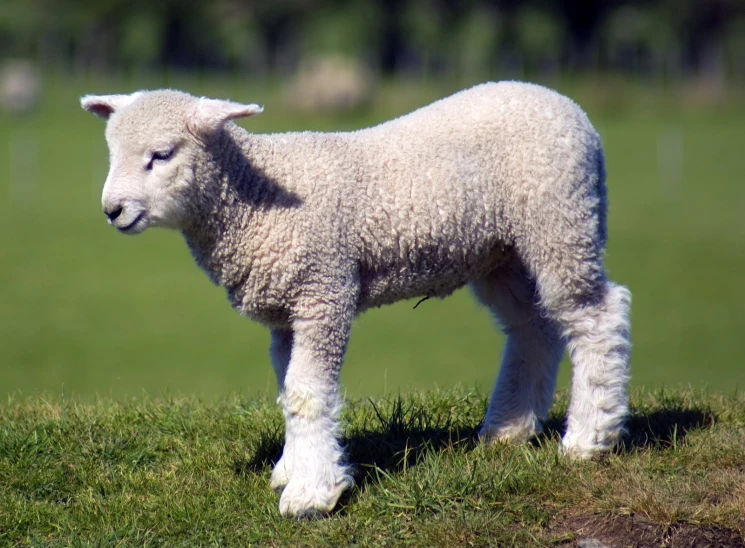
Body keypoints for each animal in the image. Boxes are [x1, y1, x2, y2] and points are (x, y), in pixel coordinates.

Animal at [80, 82, 628, 520]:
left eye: (162, 154)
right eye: (111, 152)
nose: (112, 210)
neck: (254, 200)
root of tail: (567, 105)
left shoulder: (324, 291)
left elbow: (307, 391)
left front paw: (312, 493)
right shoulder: (286, 311)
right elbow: (287, 389)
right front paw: (292, 466)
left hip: (560, 220)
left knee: (596, 315)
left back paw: (590, 437)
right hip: (502, 254)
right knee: (533, 327)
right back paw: (509, 429)